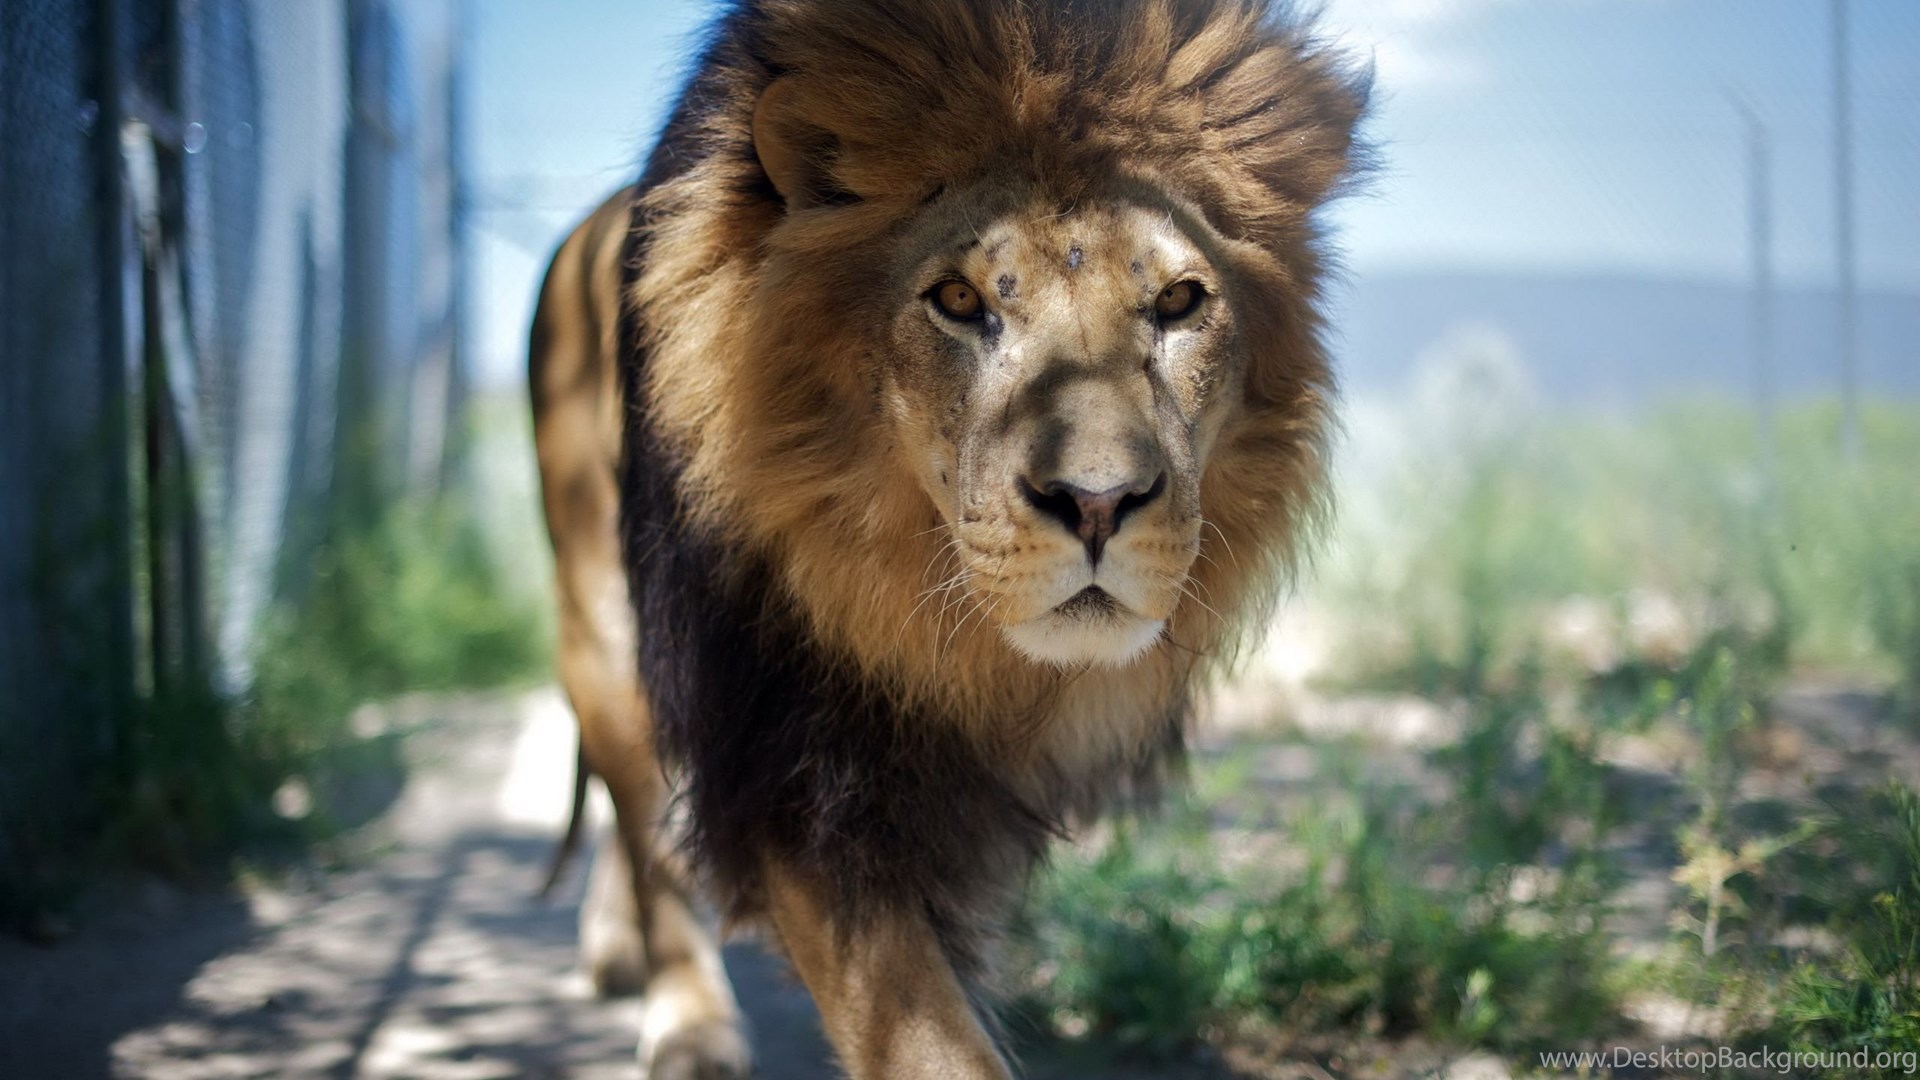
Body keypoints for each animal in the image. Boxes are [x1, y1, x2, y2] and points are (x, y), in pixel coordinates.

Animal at [529, 1, 1367, 1075]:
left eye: (1179, 301)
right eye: (961, 301)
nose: (1099, 503)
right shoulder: (790, 753)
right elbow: (924, 1032)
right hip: (599, 613)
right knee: (639, 803)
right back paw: (686, 1017)